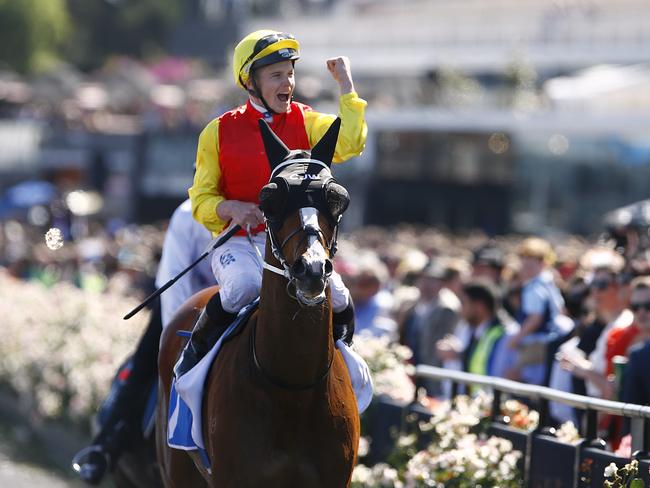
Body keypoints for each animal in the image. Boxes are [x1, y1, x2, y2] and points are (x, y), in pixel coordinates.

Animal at [156, 118, 360, 488]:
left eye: (337, 198)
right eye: (269, 201)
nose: (311, 269)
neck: (292, 388)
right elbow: (204, 195)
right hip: (177, 466)